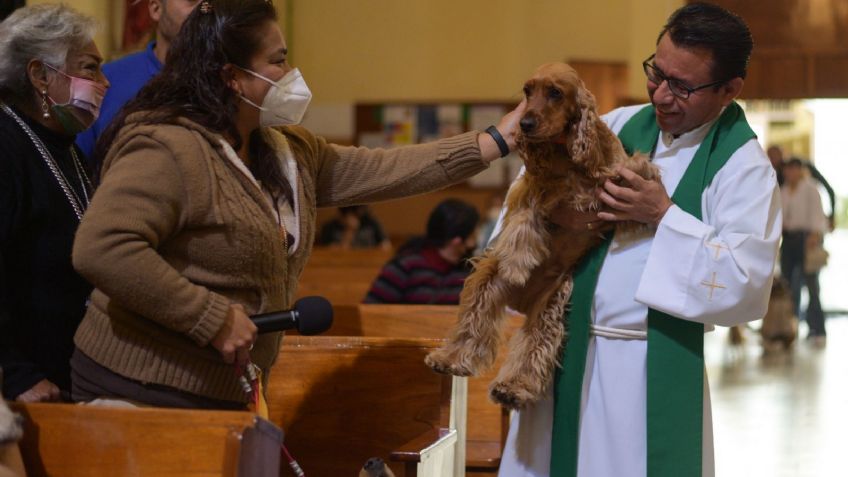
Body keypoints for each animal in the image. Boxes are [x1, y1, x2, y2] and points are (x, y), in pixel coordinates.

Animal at [428, 61, 660, 408]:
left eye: (554, 93)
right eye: (528, 91)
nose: (524, 124)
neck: (567, 156)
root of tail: (520, 303)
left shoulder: (611, 173)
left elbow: (635, 167)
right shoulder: (534, 189)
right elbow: (526, 216)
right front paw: (518, 261)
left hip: (549, 306)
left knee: (534, 347)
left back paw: (512, 388)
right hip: (486, 280)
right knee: (473, 324)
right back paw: (450, 358)